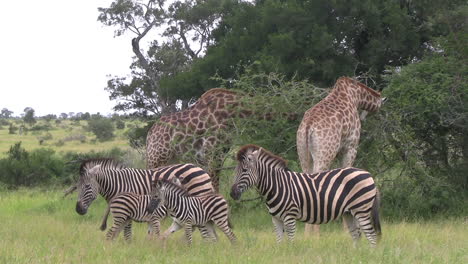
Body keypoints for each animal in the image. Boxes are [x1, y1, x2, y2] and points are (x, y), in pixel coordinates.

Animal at [76, 159, 215, 241]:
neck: (118, 184)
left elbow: (127, 231)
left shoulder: (130, 205)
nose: (78, 210)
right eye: (76, 186)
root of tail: (200, 169)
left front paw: (128, 245)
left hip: (198, 196)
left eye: (87, 186)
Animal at [230, 144, 380, 245]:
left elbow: (290, 242)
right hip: (349, 213)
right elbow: (279, 242)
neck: (277, 186)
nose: (232, 194)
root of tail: (368, 174)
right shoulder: (276, 219)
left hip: (361, 210)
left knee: (372, 236)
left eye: (244, 170)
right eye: (236, 170)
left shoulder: (289, 217)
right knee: (357, 235)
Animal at [296, 76, 384, 235]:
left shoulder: (339, 152)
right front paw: (346, 230)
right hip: (325, 153)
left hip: (304, 154)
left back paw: (307, 234)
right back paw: (316, 235)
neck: (356, 95)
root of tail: (308, 127)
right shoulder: (350, 148)